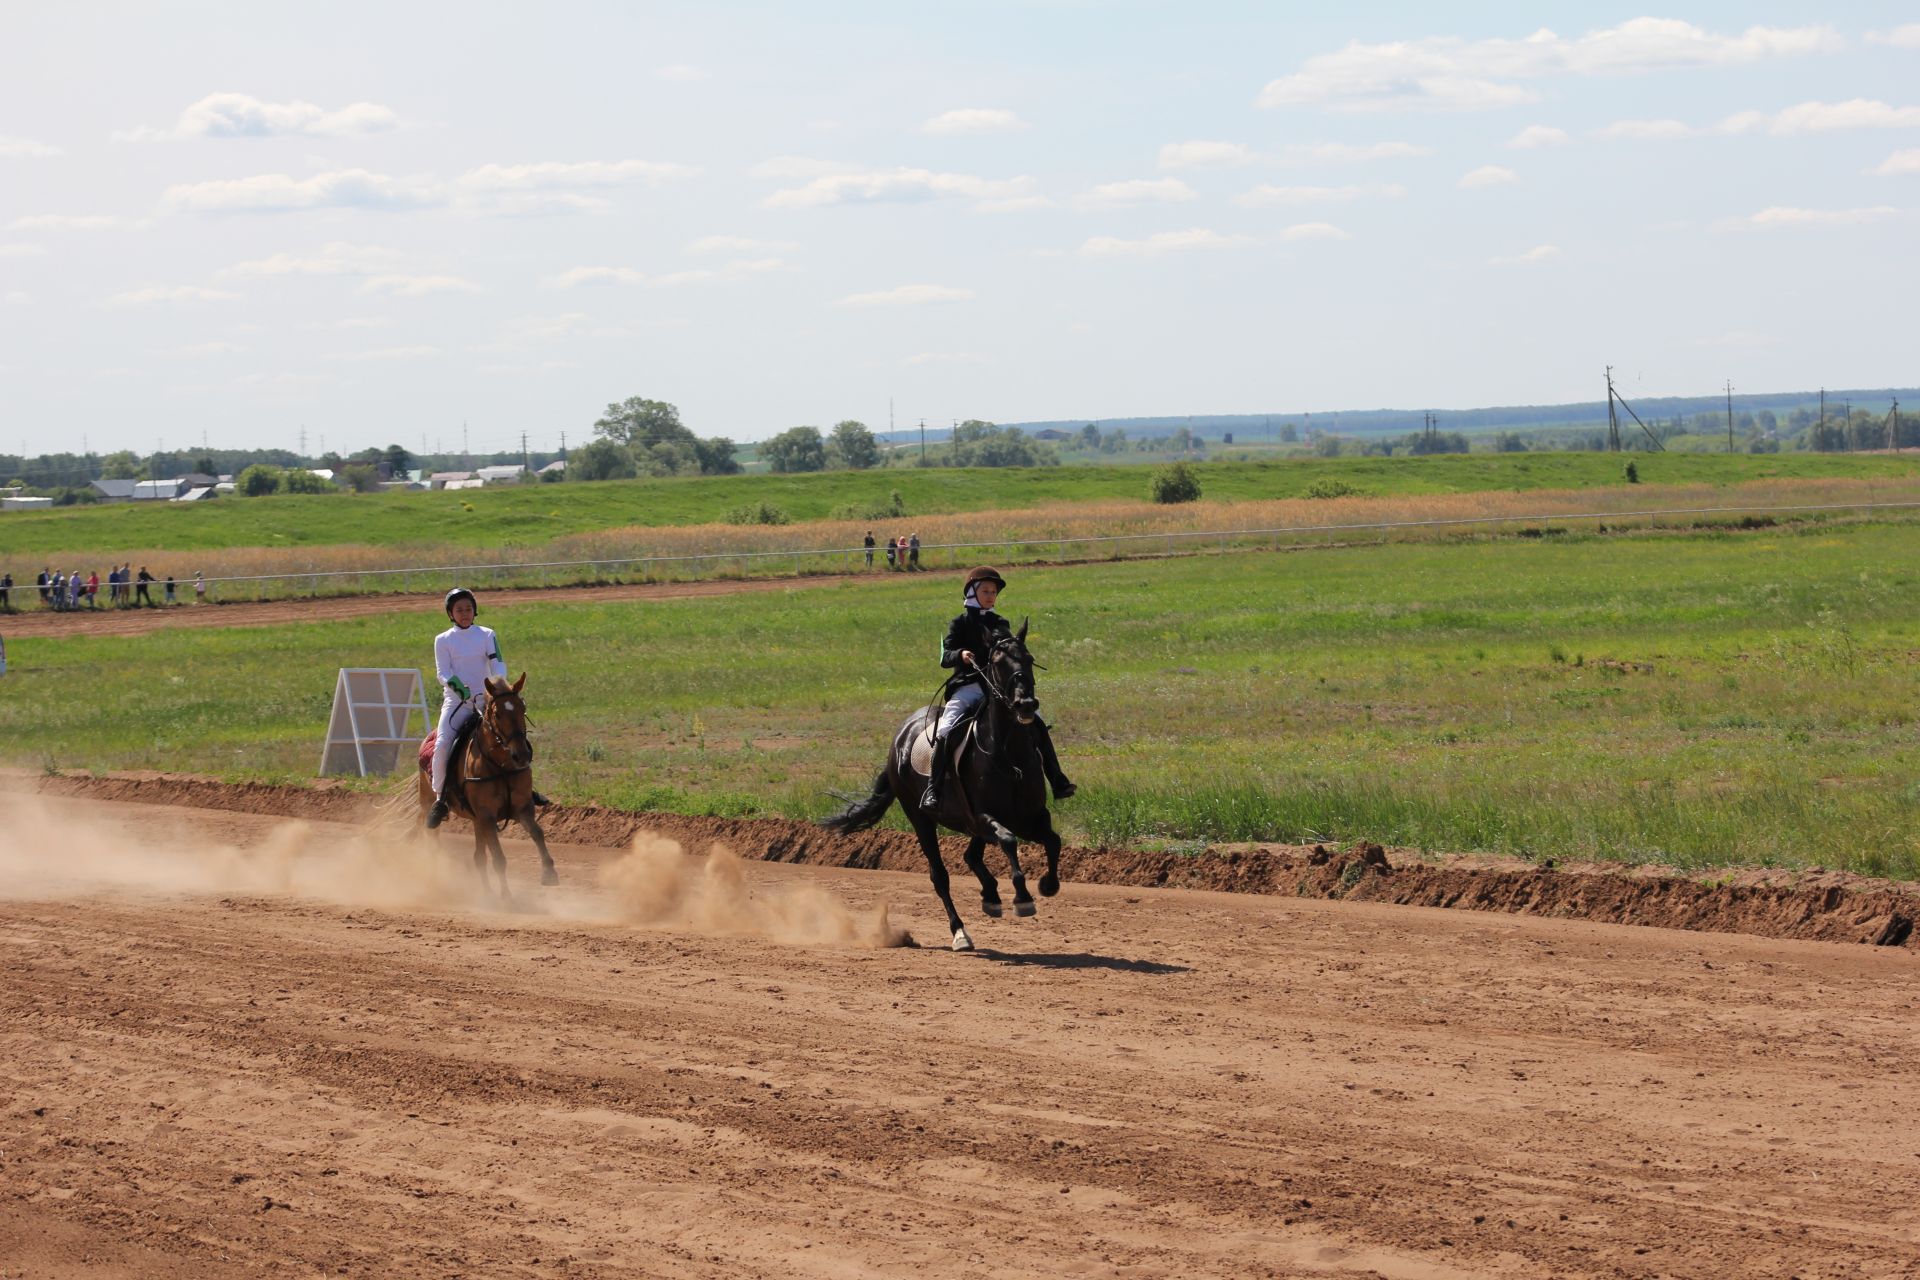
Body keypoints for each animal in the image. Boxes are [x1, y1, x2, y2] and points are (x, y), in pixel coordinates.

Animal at [408, 671, 552, 901]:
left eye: (522, 708)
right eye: (497, 714)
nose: (521, 755)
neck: (500, 766)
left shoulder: (522, 808)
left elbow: (538, 833)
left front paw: (549, 872)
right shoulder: (487, 815)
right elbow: (498, 857)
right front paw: (506, 896)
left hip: (476, 821)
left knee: (478, 856)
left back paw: (486, 892)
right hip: (429, 803)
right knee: (432, 839)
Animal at [817, 621, 1067, 951]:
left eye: (1028, 659)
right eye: (998, 662)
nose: (1026, 705)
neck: (1009, 753)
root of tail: (899, 739)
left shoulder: (1030, 817)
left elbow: (1053, 841)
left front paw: (1048, 885)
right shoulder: (986, 816)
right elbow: (1009, 840)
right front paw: (1023, 898)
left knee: (971, 856)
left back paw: (990, 896)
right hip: (921, 819)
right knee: (940, 876)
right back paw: (960, 932)